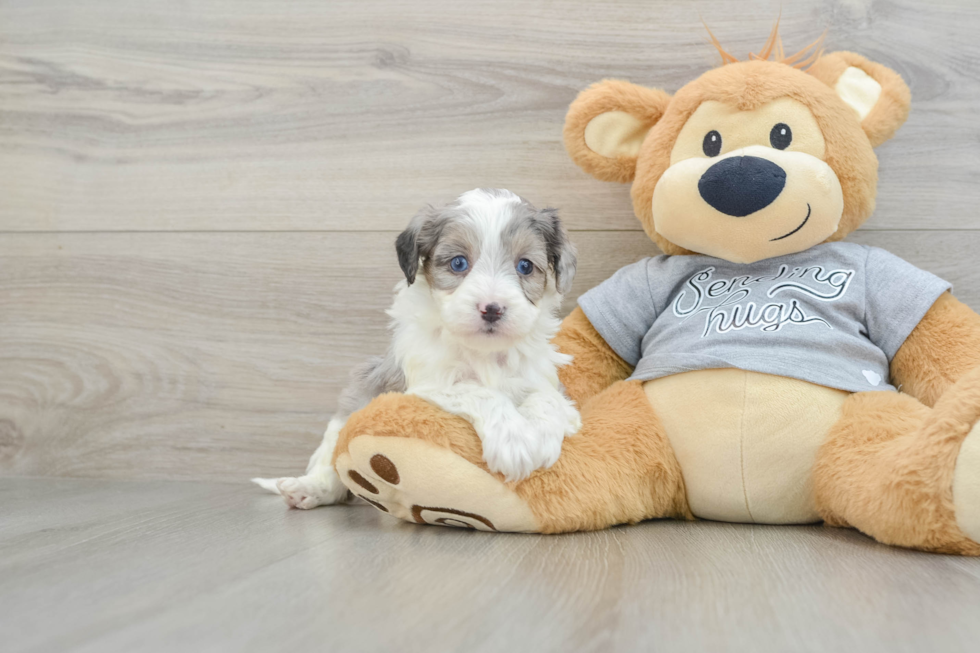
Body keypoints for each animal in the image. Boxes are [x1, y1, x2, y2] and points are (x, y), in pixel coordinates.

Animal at [253, 186, 580, 506]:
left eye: (525, 266)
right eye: (458, 263)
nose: (492, 309)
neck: (483, 353)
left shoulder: (540, 376)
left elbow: (548, 398)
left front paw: (543, 436)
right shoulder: (424, 384)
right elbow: (478, 391)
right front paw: (514, 440)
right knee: (332, 465)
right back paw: (309, 488)